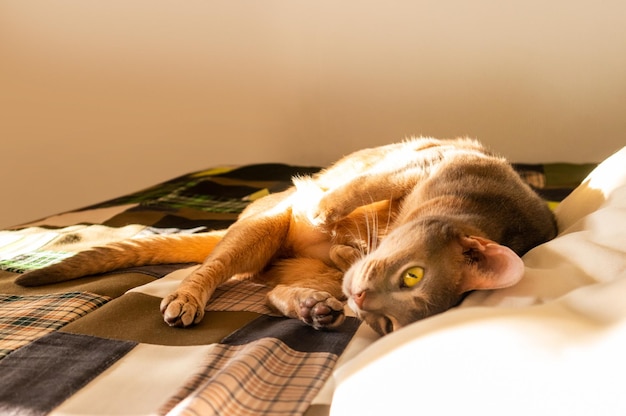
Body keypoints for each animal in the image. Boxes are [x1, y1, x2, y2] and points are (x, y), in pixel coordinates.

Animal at [14, 138, 552, 336]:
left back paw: (314, 306)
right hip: (261, 229)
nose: (361, 300)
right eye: (411, 275)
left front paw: (343, 242)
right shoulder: (425, 157)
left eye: (388, 326)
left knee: (270, 291)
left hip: (299, 267)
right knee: (212, 268)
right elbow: (360, 190)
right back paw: (189, 298)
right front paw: (325, 212)